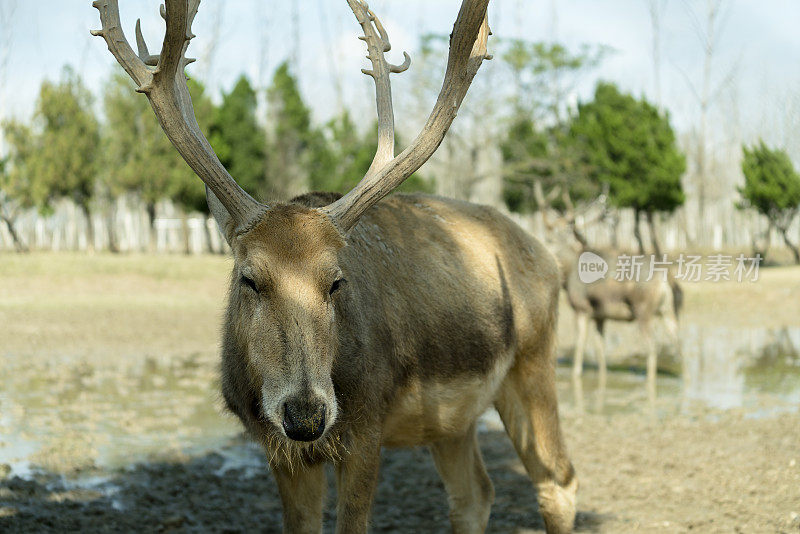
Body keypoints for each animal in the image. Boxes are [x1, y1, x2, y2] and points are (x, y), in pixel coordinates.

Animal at [94, 1, 580, 534]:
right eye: (249, 278)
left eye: (336, 282)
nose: (305, 415)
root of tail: (547, 254)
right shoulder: (277, 448)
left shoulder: (366, 423)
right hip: (453, 420)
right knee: (476, 493)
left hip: (535, 359)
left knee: (559, 479)